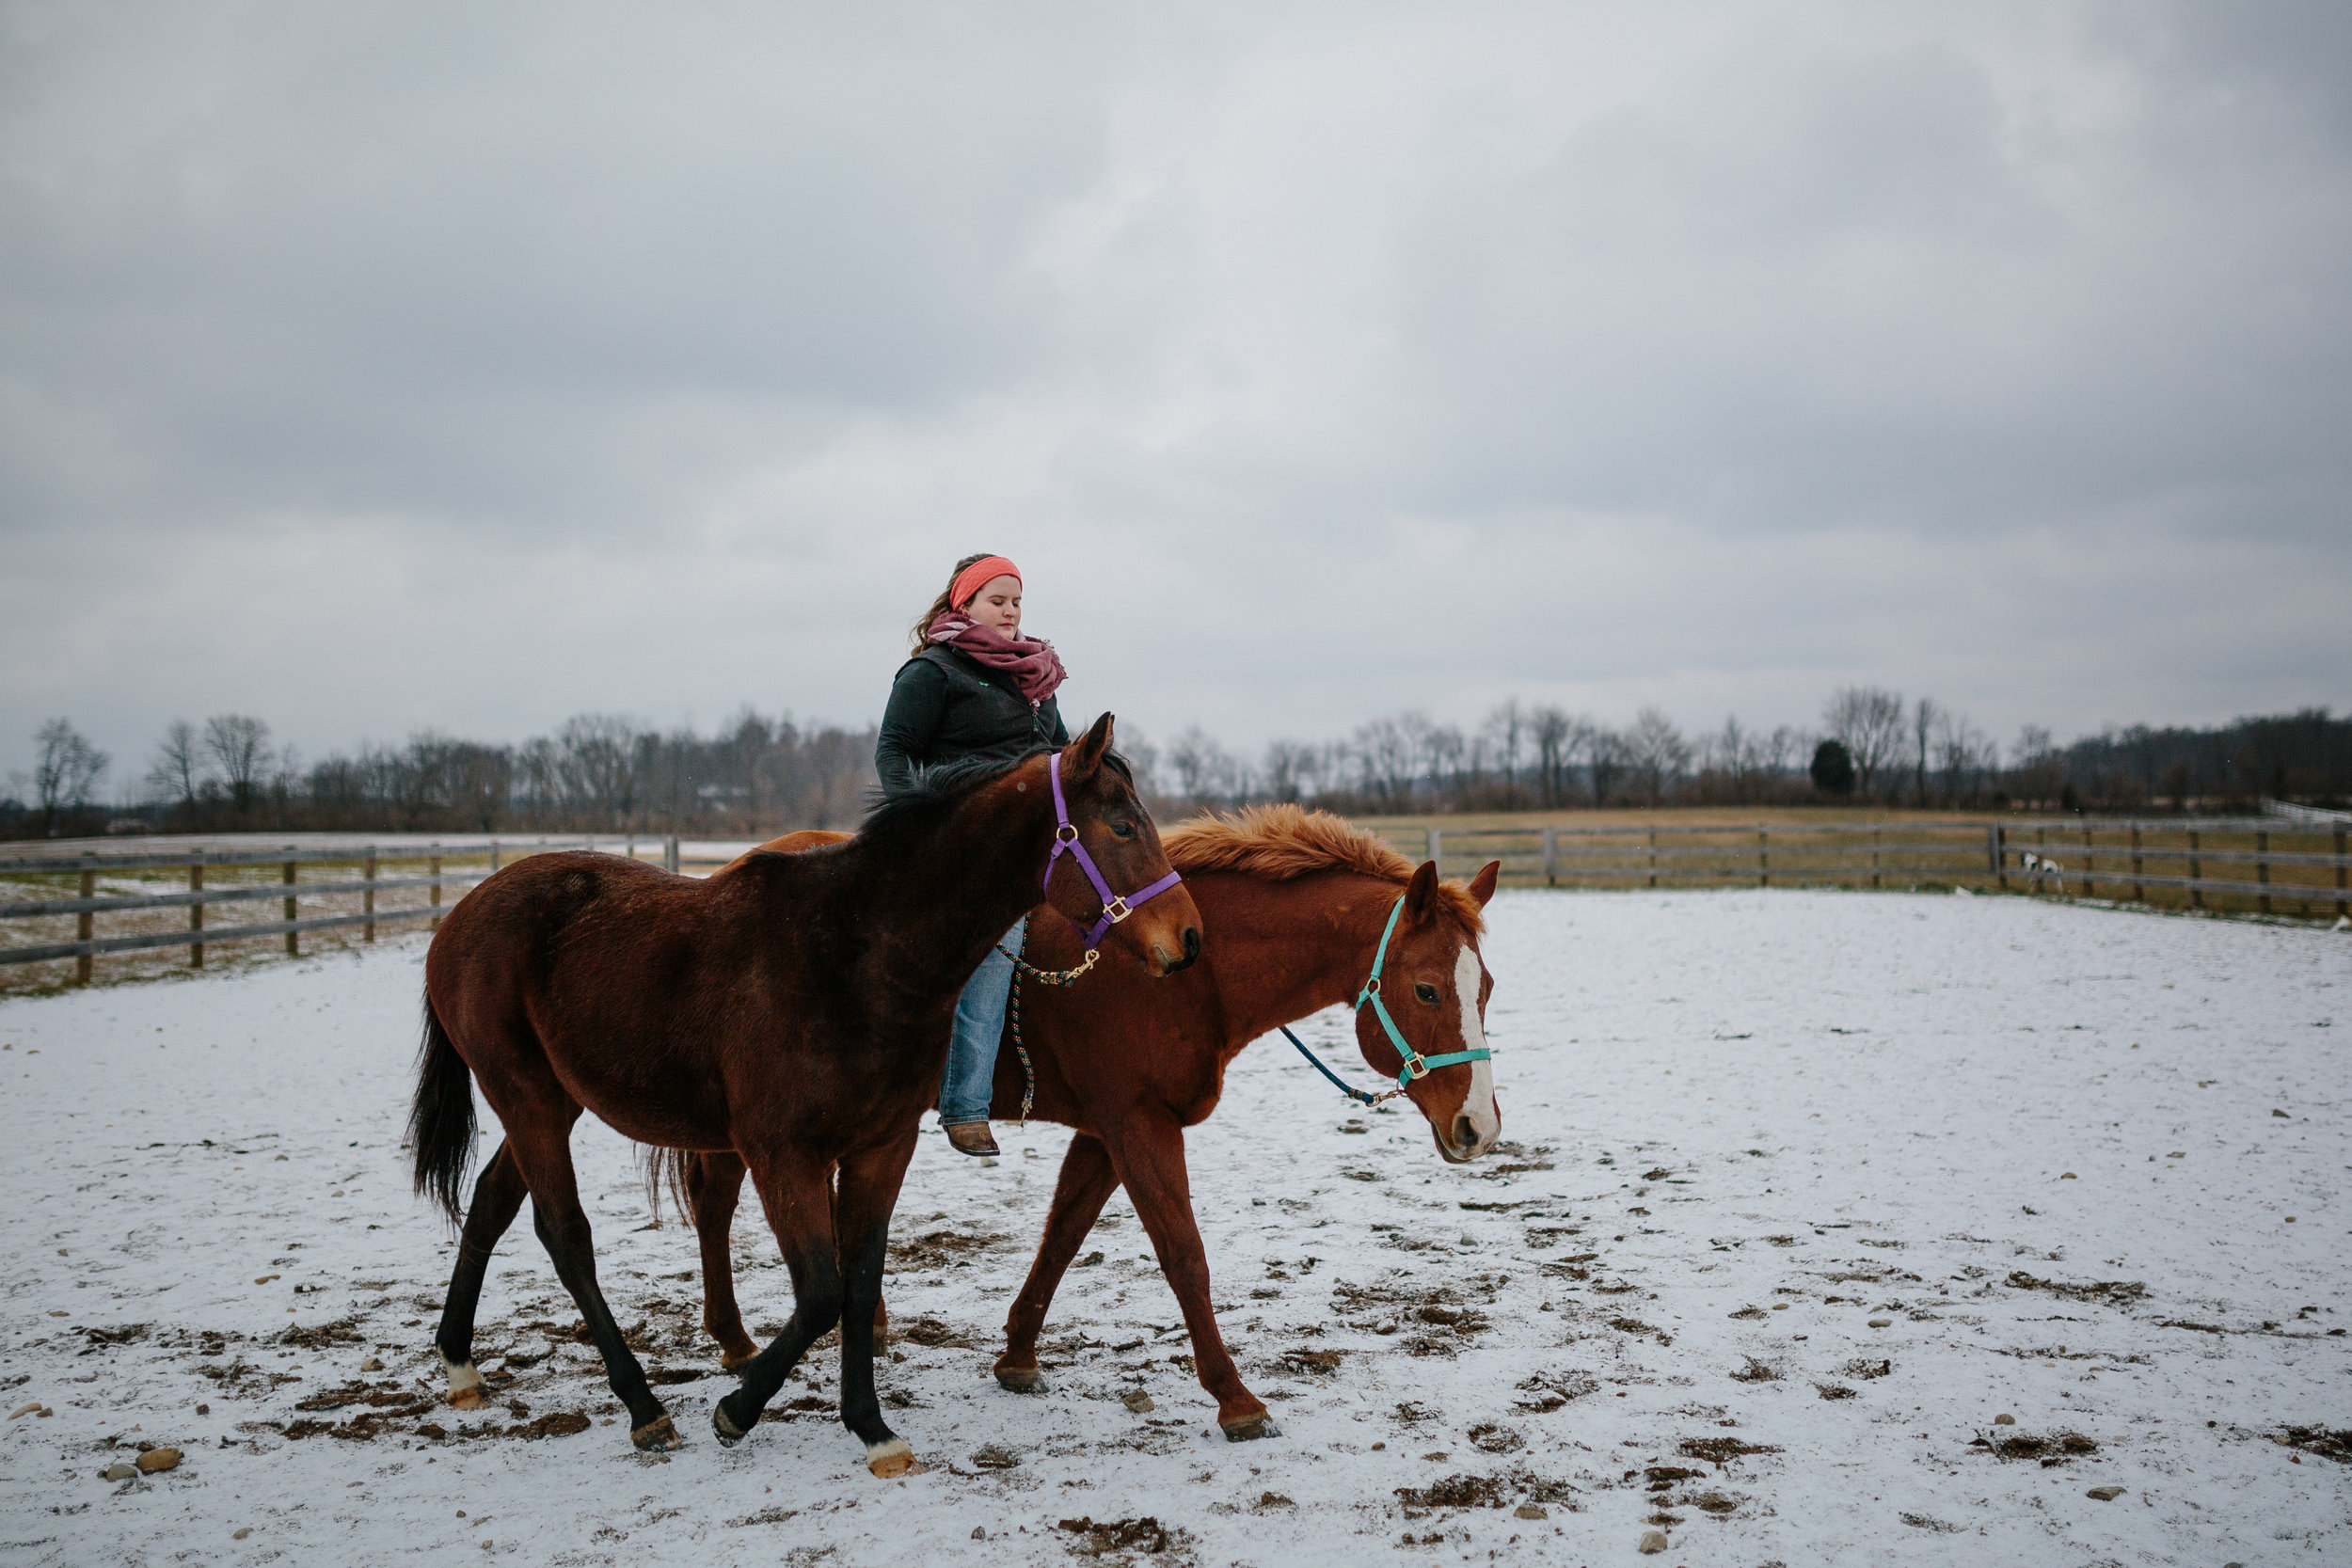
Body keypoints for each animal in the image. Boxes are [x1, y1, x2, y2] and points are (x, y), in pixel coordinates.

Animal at [406, 719, 1204, 1476]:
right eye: (1122, 825)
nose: (1190, 938)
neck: (858, 952)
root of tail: (462, 916)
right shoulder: (781, 1153)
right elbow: (821, 1291)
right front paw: (737, 1409)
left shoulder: (881, 1147)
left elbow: (858, 1279)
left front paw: (872, 1428)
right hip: (528, 1099)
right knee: (566, 1235)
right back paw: (643, 1407)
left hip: (550, 1100)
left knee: (492, 1203)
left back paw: (460, 1363)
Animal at [673, 808, 1496, 1438]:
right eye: (1427, 988)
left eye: (1483, 984)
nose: (1479, 1128)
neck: (1188, 970)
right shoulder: (1138, 1125)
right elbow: (1183, 1254)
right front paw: (1235, 1398)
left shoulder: (1106, 1131)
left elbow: (1063, 1235)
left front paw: (1017, 1354)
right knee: (718, 1199)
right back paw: (738, 1341)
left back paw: (846, 1323)